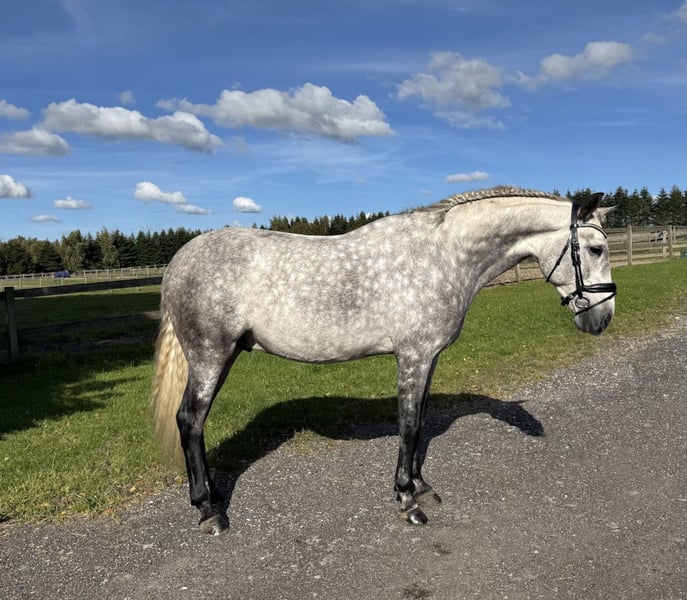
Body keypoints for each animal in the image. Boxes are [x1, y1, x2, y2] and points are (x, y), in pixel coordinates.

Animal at [151, 186, 617, 535]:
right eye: (595, 249)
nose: (603, 318)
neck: (444, 256)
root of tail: (179, 260)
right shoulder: (413, 356)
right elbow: (408, 426)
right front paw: (408, 500)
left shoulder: (428, 358)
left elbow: (421, 422)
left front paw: (421, 486)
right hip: (211, 356)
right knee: (190, 421)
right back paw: (209, 511)